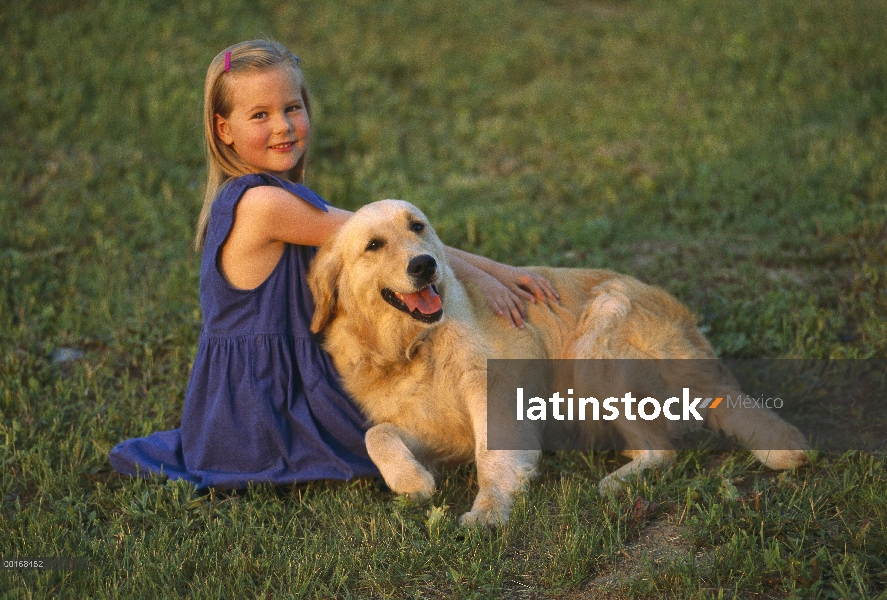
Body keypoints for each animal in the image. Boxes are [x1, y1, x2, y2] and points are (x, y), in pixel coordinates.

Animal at [306, 200, 812, 524]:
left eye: (417, 227)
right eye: (374, 245)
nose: (425, 265)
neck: (413, 347)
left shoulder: (495, 396)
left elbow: (493, 458)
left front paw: (489, 511)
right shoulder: (435, 430)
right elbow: (377, 435)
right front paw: (411, 481)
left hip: (597, 341)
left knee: (662, 449)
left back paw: (617, 483)